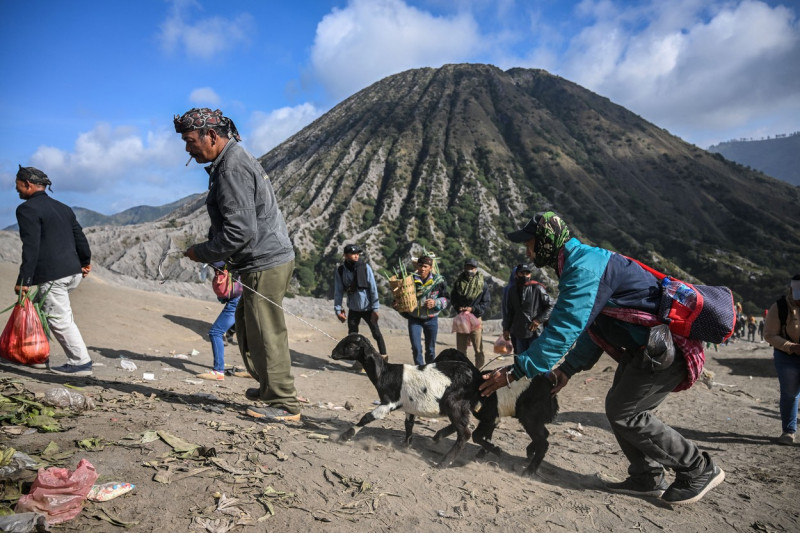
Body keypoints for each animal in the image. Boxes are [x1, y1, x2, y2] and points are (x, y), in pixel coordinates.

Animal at [330, 334, 482, 468]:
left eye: (350, 345)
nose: (333, 353)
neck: (385, 373)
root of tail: (476, 375)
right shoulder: (409, 406)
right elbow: (409, 424)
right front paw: (406, 446)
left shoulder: (389, 402)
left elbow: (367, 417)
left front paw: (344, 436)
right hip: (460, 406)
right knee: (463, 425)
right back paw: (437, 438)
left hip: (454, 403)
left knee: (465, 433)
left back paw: (443, 463)